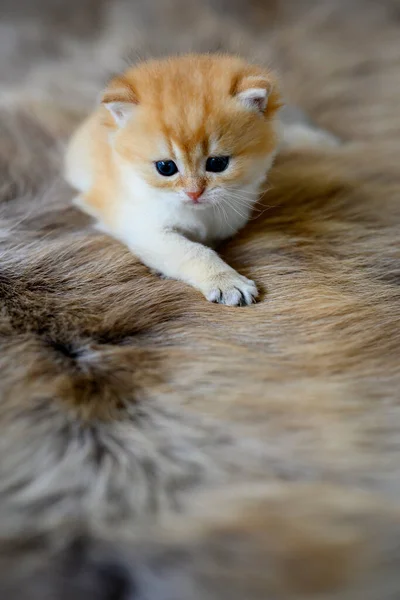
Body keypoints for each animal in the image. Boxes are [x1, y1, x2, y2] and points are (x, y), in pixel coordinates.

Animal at [65, 54, 284, 308]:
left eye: (217, 163)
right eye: (166, 168)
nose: (194, 193)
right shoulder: (139, 224)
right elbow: (192, 251)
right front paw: (226, 281)